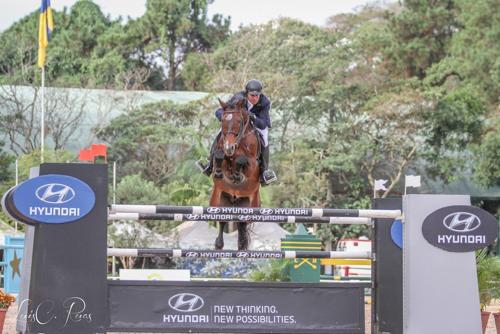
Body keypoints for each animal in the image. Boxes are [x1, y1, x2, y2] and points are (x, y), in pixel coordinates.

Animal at [209, 95, 262, 249]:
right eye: (223, 120)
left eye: (239, 121)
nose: (229, 147)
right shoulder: (221, 155)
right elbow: (219, 156)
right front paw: (220, 172)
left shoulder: (253, 165)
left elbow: (242, 160)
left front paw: (238, 175)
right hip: (219, 202)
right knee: (222, 222)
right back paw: (219, 245)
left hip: (249, 206)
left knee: (242, 226)